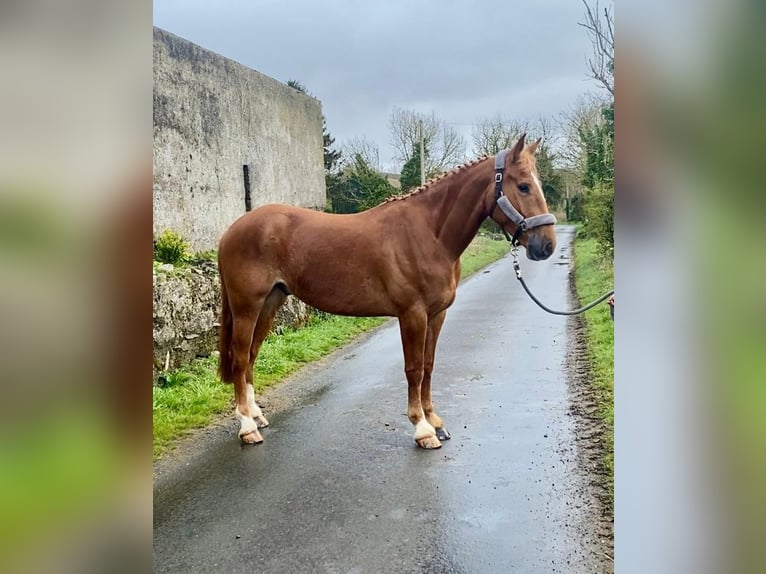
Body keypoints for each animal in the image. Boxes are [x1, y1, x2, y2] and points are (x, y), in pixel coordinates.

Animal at [216, 134, 560, 450]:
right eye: (524, 186)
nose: (547, 245)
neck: (429, 234)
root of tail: (232, 230)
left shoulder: (437, 315)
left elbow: (429, 365)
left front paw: (435, 422)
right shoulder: (412, 315)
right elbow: (414, 369)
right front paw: (422, 429)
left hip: (270, 304)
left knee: (250, 357)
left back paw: (256, 415)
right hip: (247, 307)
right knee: (240, 358)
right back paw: (247, 427)